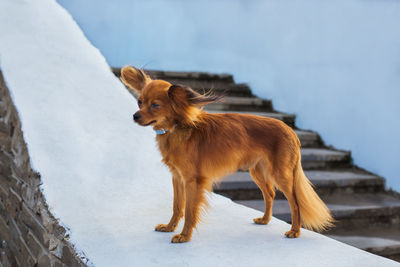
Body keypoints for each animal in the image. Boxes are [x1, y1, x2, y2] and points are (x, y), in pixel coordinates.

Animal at [120, 66, 332, 244]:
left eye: (155, 105)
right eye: (140, 102)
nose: (135, 116)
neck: (177, 128)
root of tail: (290, 130)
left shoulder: (192, 181)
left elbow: (189, 211)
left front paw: (184, 236)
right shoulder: (177, 178)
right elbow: (177, 206)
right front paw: (170, 227)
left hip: (281, 175)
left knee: (295, 202)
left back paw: (295, 231)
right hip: (257, 172)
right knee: (270, 194)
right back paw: (264, 220)